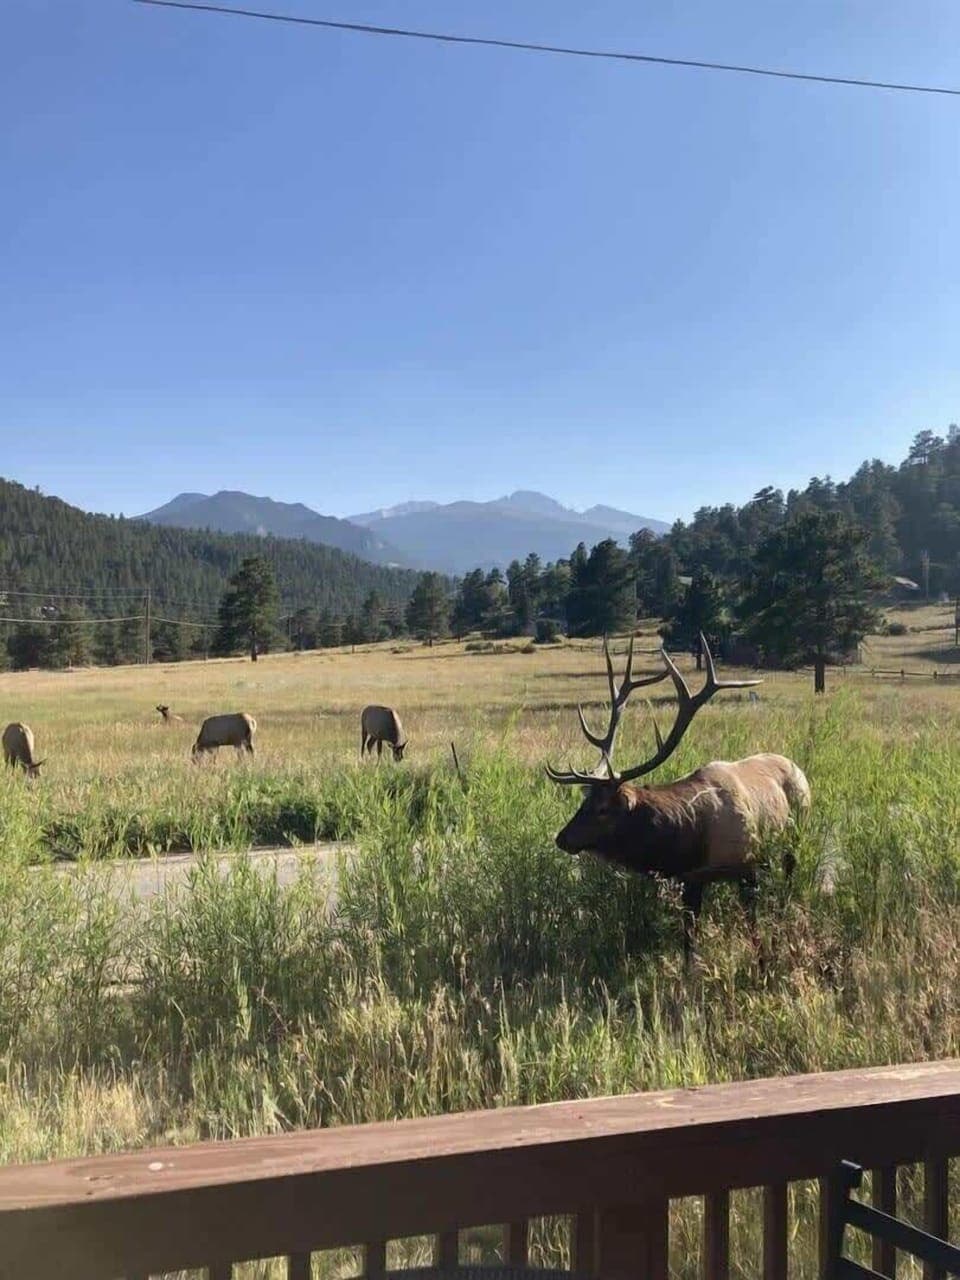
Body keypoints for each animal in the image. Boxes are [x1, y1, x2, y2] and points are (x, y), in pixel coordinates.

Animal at [546, 634, 810, 962]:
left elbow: (753, 929)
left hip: (796, 836)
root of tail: (798, 767)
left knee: (788, 881)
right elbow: (688, 940)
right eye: (584, 802)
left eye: (603, 808)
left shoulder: (747, 867)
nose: (562, 838)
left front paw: (763, 961)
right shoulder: (691, 878)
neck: (692, 840)